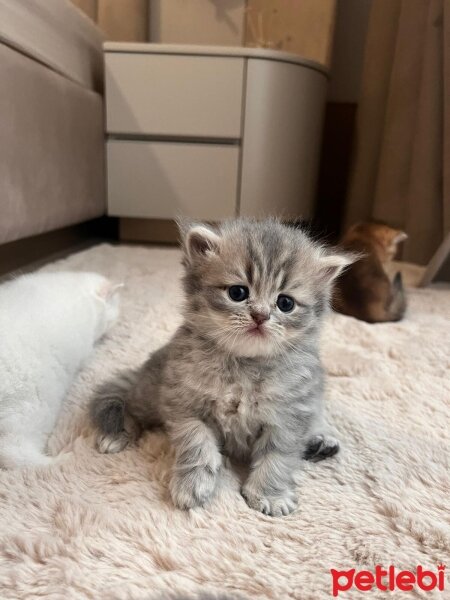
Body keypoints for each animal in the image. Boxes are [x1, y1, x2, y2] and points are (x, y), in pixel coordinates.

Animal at [89, 220, 350, 516]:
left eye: (285, 303)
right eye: (238, 293)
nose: (260, 316)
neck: (244, 366)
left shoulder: (289, 416)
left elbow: (277, 458)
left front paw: (269, 494)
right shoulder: (185, 404)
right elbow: (197, 446)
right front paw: (192, 484)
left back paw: (322, 439)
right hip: (151, 392)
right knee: (131, 404)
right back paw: (118, 432)